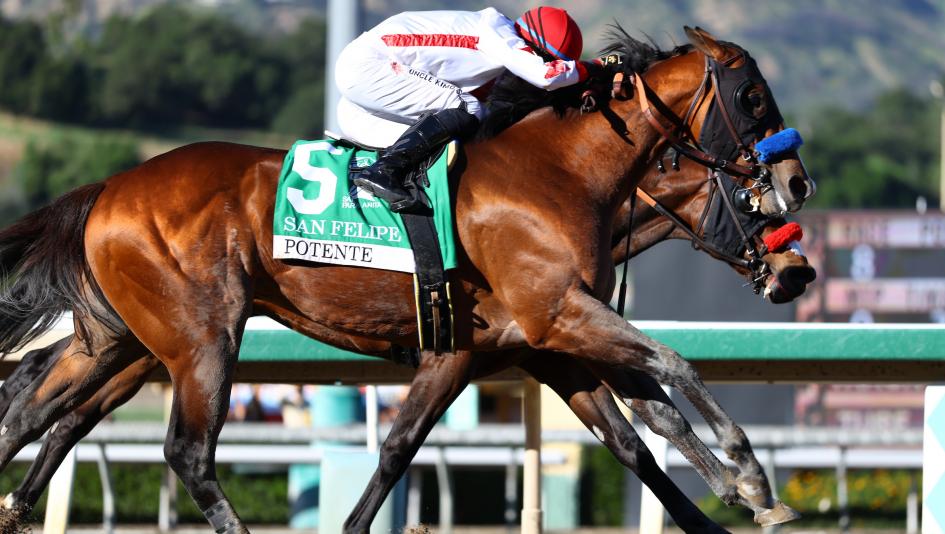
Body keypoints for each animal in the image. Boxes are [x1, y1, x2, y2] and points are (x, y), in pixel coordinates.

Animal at [0, 27, 815, 533]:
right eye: (752, 99)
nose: (797, 262)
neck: (559, 174)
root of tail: (109, 187)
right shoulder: (551, 318)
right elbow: (673, 365)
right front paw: (749, 476)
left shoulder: (533, 345)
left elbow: (633, 437)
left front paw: (730, 502)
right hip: (200, 338)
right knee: (186, 455)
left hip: (121, 339)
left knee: (36, 412)